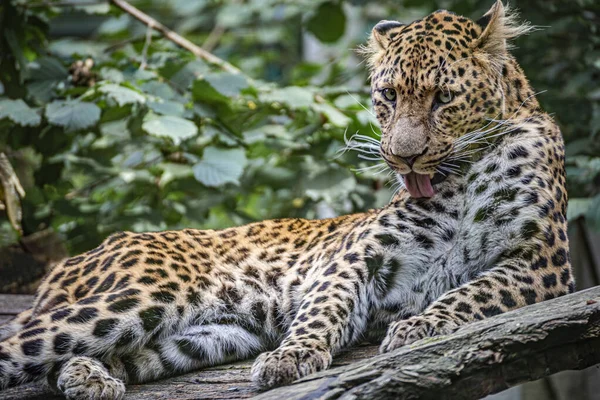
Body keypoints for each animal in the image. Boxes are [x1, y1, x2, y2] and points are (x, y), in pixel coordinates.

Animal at [0, 1, 572, 398]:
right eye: (388, 96)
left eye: (443, 98)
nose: (403, 158)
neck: (462, 177)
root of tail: (74, 258)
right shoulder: (358, 255)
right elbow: (324, 307)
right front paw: (292, 357)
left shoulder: (542, 264)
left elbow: (475, 292)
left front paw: (421, 325)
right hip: (143, 295)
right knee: (22, 342)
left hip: (202, 334)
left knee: (68, 360)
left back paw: (87, 377)